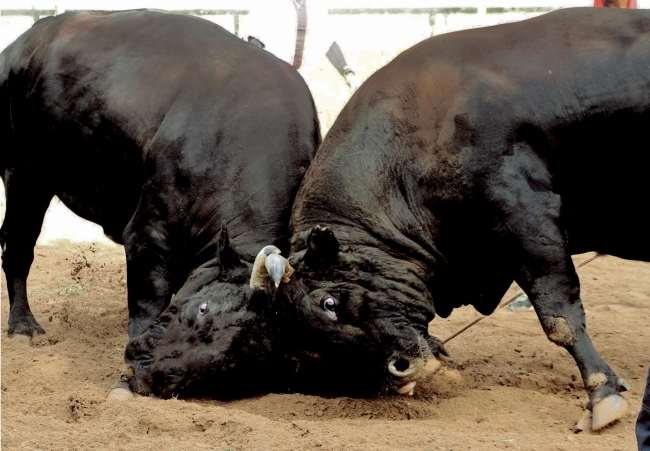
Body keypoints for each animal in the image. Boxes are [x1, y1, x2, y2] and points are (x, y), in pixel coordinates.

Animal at [0, 11, 318, 396]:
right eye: (202, 309)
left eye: (229, 368)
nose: (151, 376)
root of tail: (30, 38)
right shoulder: (149, 235)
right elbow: (147, 303)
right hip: (24, 174)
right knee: (18, 246)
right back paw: (23, 326)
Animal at [268, 7, 648, 430]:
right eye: (312, 350)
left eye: (329, 302)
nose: (398, 370)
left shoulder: (526, 217)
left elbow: (559, 317)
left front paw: (602, 392)